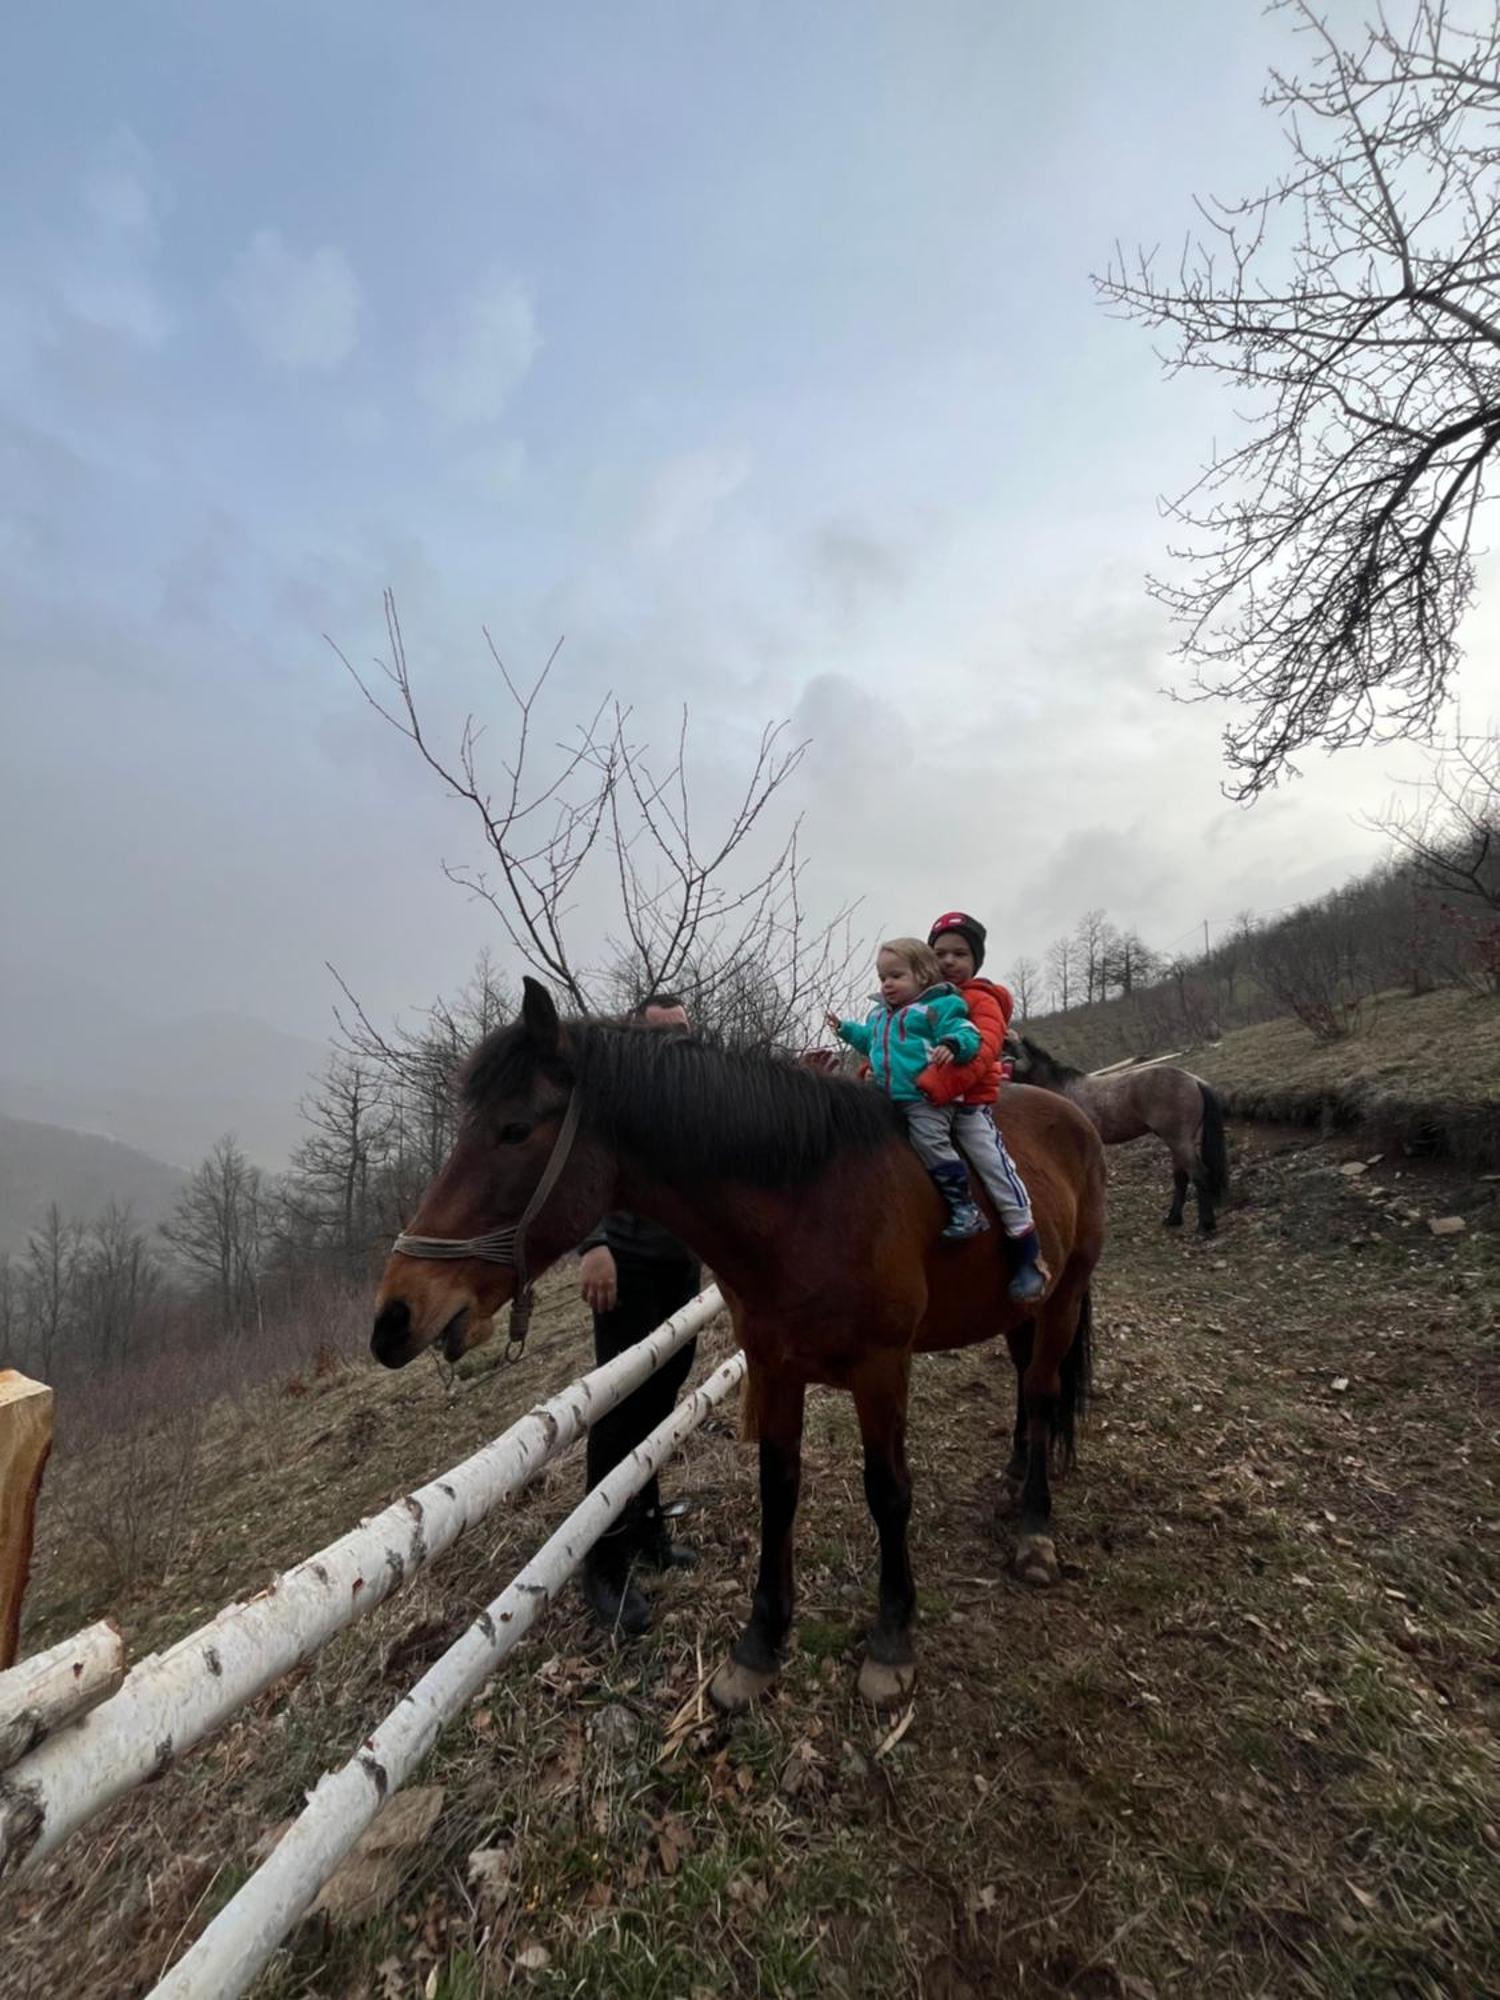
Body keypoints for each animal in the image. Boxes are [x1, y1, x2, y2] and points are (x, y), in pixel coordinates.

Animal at [370, 976, 1112, 1712]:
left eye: (515, 1130)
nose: (394, 1317)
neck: (810, 1203)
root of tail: (1072, 1114)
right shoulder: (774, 1367)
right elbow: (777, 1490)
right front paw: (761, 1643)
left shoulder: (881, 1371)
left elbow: (888, 1491)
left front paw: (892, 1637)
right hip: (1020, 1308)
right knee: (1025, 1385)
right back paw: (1016, 1472)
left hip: (1063, 1297)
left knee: (1041, 1393)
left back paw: (1034, 1529)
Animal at [1012, 1040, 1232, 1224]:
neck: (1062, 1091)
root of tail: (1194, 1081)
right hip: (1177, 1141)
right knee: (1181, 1177)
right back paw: (1173, 1219)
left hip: (1179, 1141)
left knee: (1199, 1175)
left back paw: (1205, 1225)